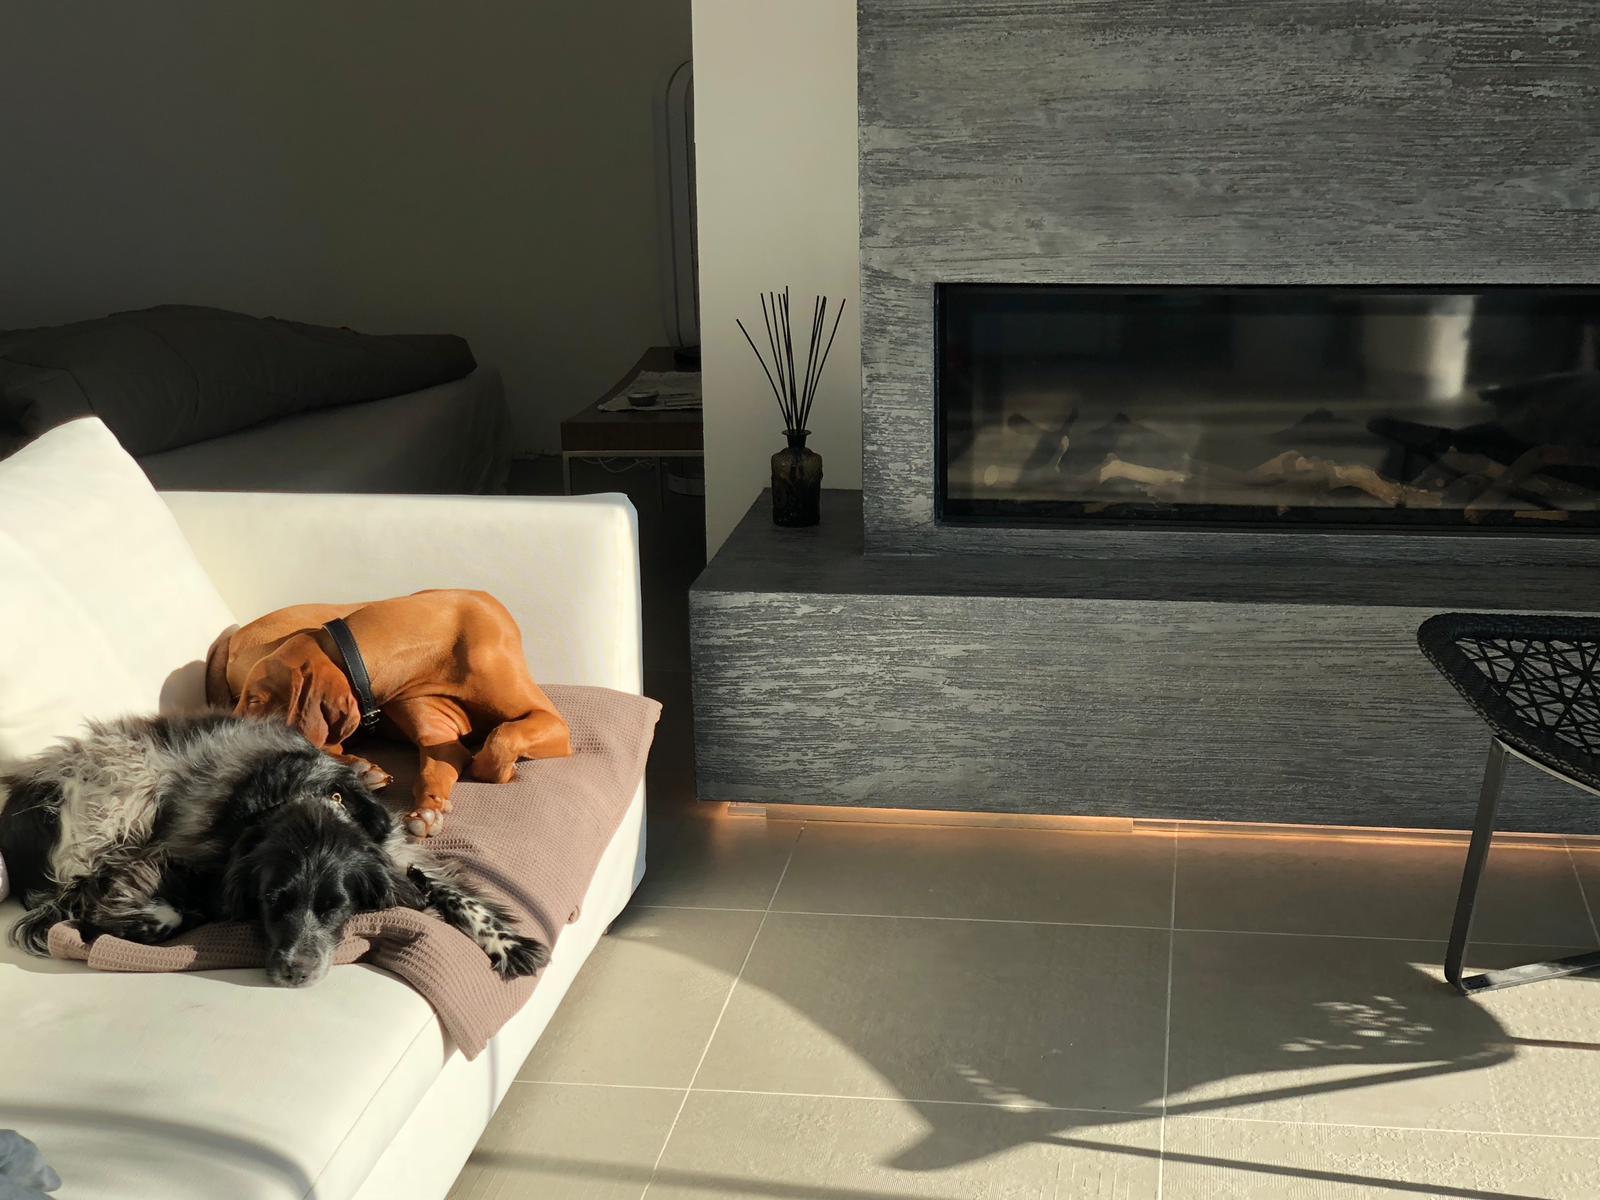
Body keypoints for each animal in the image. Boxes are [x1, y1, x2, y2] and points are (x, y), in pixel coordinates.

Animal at [0, 712, 548, 986]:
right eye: (271, 903)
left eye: (337, 906)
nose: (294, 972)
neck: (301, 796)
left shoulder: (394, 848)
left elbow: (451, 892)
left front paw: (507, 943)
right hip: (129, 781)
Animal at [206, 589, 571, 837]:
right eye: (245, 698)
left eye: (255, 700)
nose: (220, 738)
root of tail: (233, 637)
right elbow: (465, 754)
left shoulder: (554, 723)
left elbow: (498, 738)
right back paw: (361, 768)